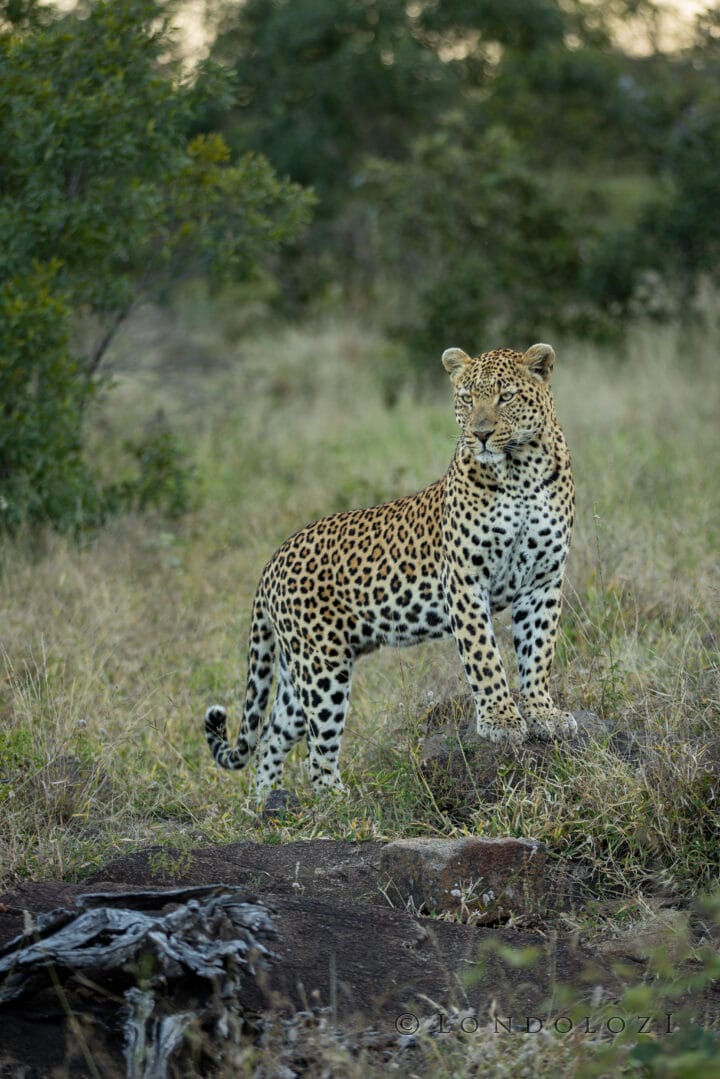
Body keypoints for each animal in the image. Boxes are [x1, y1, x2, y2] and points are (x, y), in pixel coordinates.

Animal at [205, 341, 577, 798]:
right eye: (467, 397)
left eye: (505, 396)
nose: (481, 434)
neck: (521, 472)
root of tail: (273, 559)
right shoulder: (465, 580)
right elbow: (485, 657)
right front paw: (501, 721)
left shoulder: (544, 580)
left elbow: (538, 653)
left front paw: (544, 714)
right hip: (322, 666)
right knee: (316, 754)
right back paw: (341, 802)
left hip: (298, 669)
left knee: (272, 739)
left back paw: (265, 805)